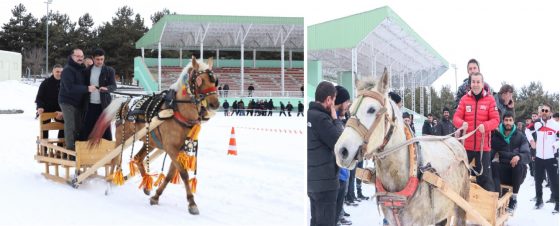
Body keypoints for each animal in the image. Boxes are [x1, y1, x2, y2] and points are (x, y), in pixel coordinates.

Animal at [89, 56, 219, 214]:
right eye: (200, 80)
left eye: (215, 80)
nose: (215, 104)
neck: (177, 110)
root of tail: (125, 101)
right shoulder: (171, 148)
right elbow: (184, 174)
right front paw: (192, 203)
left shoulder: (180, 149)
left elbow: (170, 174)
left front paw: (156, 196)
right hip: (122, 138)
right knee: (115, 159)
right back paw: (108, 184)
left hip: (149, 142)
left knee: (137, 159)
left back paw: (146, 185)